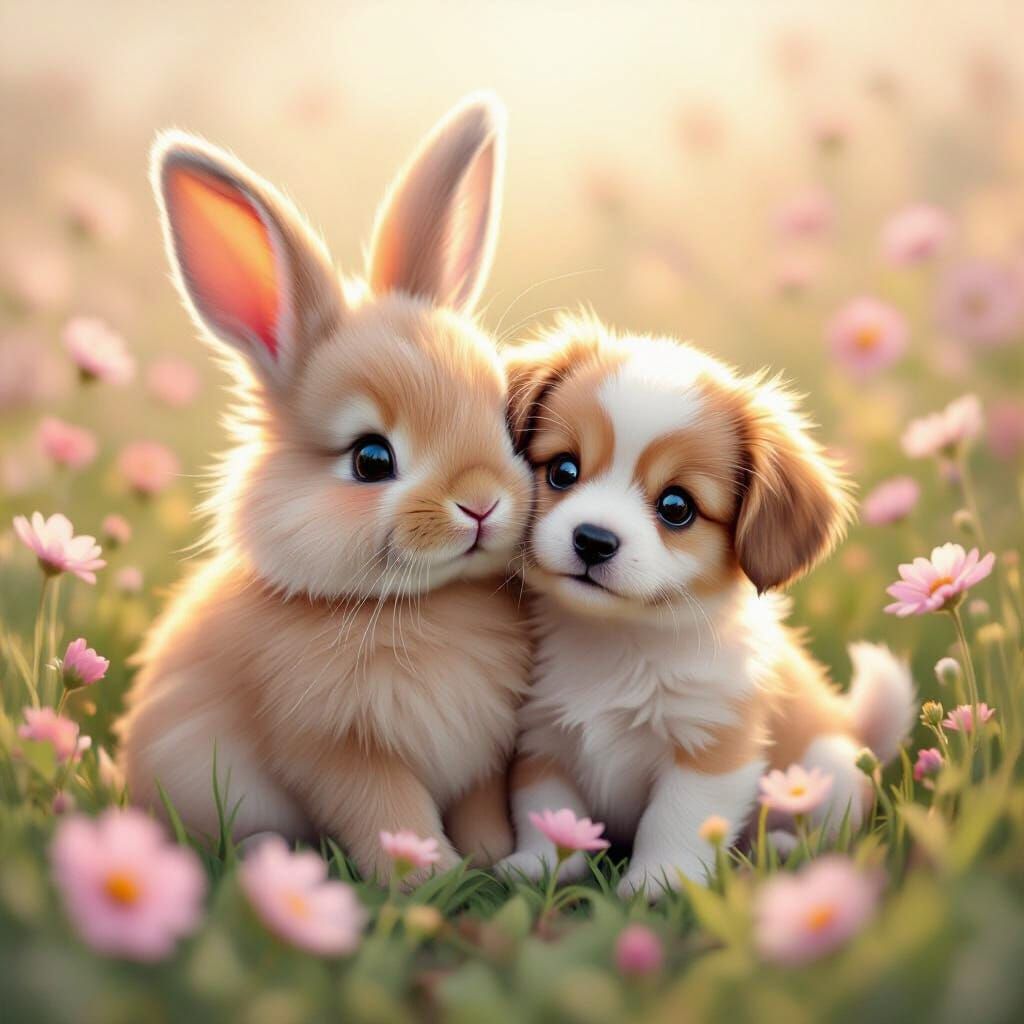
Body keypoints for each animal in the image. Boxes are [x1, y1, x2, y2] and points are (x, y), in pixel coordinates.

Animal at [116, 94, 533, 882]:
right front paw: (428, 875)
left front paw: (492, 858)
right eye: (370, 459)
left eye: (504, 418)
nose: (481, 502)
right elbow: (389, 814)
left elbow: (479, 808)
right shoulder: (333, 751)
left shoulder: (483, 757)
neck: (428, 604)